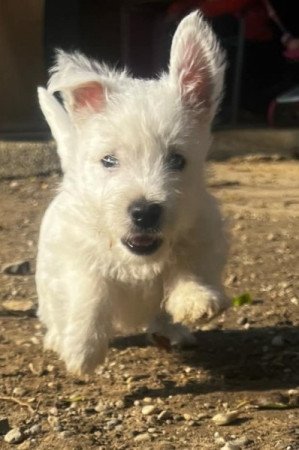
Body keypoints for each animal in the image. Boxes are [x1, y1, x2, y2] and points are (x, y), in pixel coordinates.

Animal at [37, 11, 230, 376]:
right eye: (109, 160)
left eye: (177, 160)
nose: (145, 212)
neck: (137, 260)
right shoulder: (77, 256)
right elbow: (91, 291)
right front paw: (83, 348)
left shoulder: (200, 235)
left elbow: (186, 265)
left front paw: (195, 298)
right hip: (48, 280)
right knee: (55, 309)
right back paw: (58, 337)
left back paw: (171, 330)